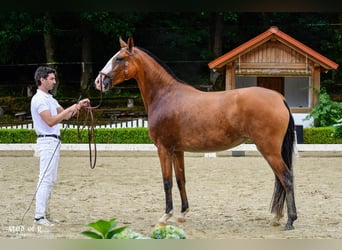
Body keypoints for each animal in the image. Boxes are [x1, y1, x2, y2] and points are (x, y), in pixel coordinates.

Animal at [95, 37, 298, 230]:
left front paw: (165, 216)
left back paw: (290, 221)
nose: (99, 82)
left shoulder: (164, 149)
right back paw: (277, 217)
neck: (165, 96)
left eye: (119, 58)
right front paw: (182, 213)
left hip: (269, 150)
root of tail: (279, 98)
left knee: (286, 178)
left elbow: (167, 182)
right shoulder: (177, 150)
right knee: (281, 179)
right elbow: (180, 180)